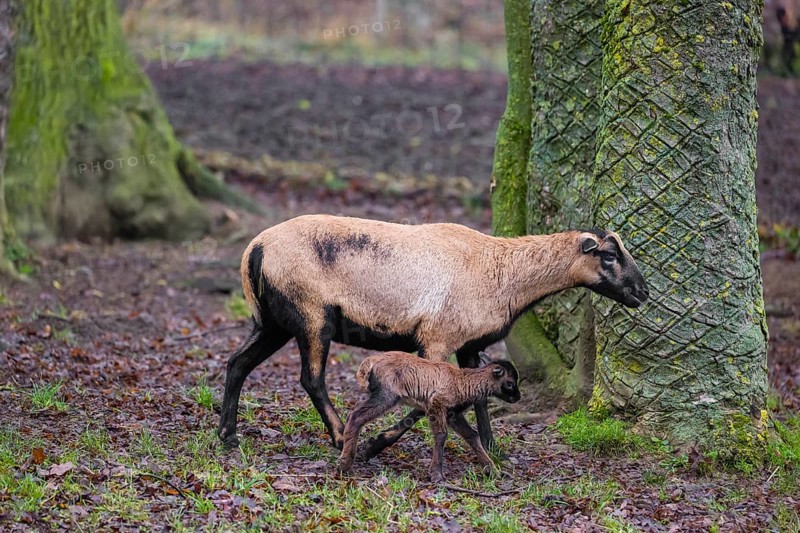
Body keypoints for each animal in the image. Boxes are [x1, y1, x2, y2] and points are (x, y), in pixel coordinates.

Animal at [217, 214, 649, 456]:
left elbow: (480, 398)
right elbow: (434, 399)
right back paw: (341, 439)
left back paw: (228, 436)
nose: (643, 292)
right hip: (310, 314)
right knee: (311, 378)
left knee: (237, 363)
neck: (502, 272)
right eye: (610, 255)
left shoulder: (471, 345)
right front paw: (375, 446)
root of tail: (255, 248)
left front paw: (495, 450)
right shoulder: (436, 339)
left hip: (271, 322)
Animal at [338, 351, 521, 481]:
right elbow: (441, 435)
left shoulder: (452, 413)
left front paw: (493, 471)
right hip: (387, 395)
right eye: (510, 383)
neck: (462, 383)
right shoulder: (436, 404)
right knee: (356, 416)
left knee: (354, 414)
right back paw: (345, 464)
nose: (518, 397)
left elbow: (472, 435)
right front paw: (436, 475)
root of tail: (370, 362)